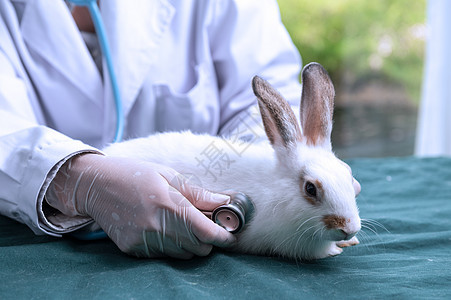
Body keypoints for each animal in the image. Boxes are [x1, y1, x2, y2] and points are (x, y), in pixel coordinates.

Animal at [104, 62, 362, 258]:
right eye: (310, 188)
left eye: (349, 175)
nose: (349, 228)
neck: (276, 189)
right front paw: (336, 249)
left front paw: (348, 243)